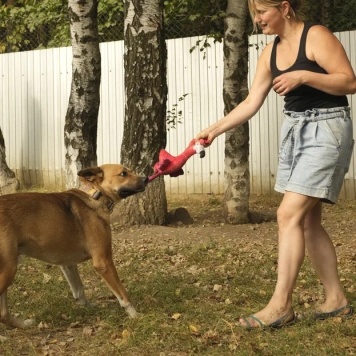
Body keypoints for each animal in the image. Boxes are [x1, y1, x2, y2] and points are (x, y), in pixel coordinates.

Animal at [0, 164, 147, 328]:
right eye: (123, 174)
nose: (146, 178)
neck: (94, 195)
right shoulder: (104, 262)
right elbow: (122, 293)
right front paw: (135, 315)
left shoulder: (67, 264)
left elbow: (79, 291)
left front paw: (89, 308)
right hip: (8, 270)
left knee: (3, 314)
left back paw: (23, 324)